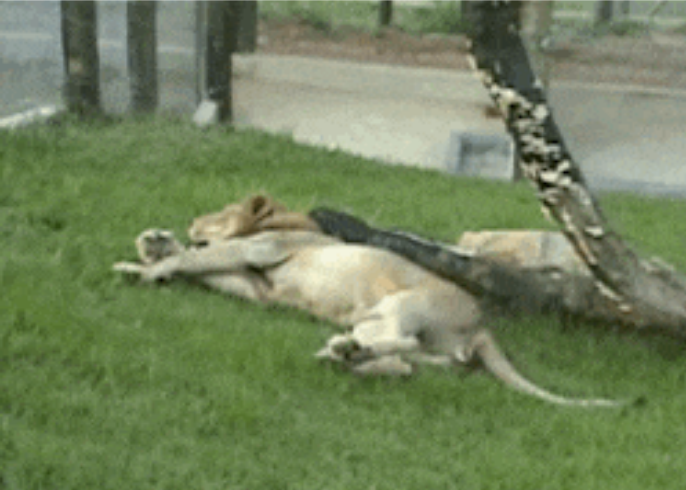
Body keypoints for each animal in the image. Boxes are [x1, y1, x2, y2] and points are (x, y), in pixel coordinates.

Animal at [114, 195, 624, 406]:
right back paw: (344, 356)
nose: (192, 221)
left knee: (401, 347)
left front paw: (146, 267)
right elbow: (201, 267)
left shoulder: (257, 250)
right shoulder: (258, 287)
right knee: (408, 364)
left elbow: (198, 258)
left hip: (403, 304)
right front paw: (152, 249)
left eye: (219, 212)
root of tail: (481, 327)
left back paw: (344, 351)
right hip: (410, 339)